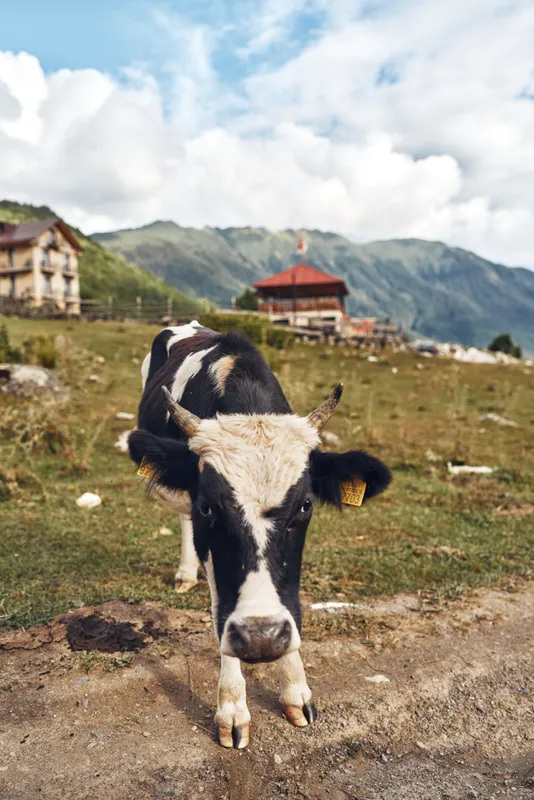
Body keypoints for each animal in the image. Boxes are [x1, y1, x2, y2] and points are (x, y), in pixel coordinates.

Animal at [128, 321, 391, 749]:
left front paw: (296, 690)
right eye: (209, 507)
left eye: (305, 505)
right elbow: (219, 608)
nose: (261, 638)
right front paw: (232, 707)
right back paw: (185, 573)